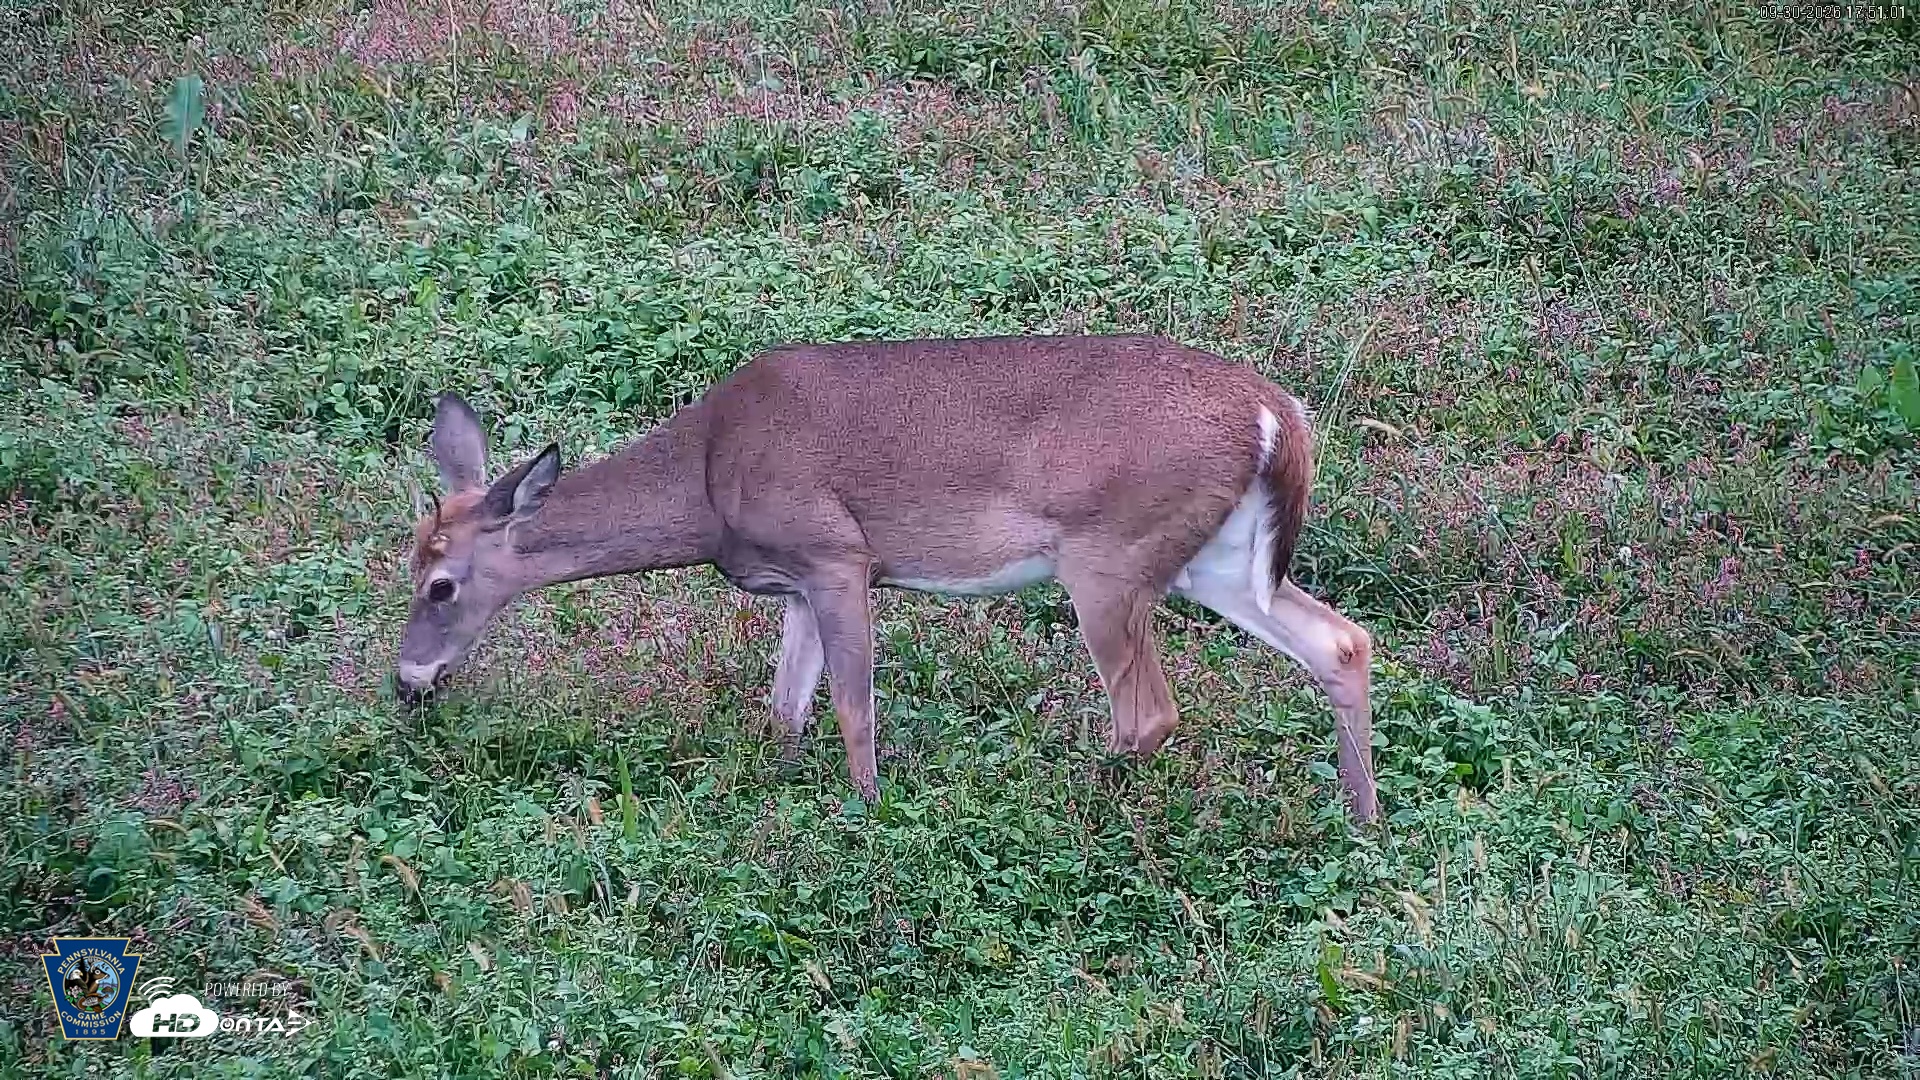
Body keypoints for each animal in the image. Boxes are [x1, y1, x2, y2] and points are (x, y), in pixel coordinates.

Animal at [394, 335, 1379, 822]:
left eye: (440, 586)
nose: (407, 681)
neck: (709, 478)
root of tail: (1277, 414)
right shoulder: (793, 581)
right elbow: (786, 707)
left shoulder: (837, 553)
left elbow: (851, 704)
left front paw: (868, 812)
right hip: (1217, 559)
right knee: (1341, 639)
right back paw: (1360, 817)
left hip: (1111, 553)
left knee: (1151, 713)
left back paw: (1068, 795)